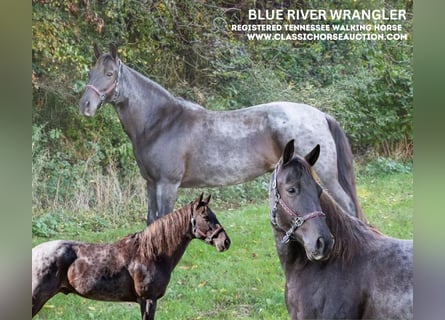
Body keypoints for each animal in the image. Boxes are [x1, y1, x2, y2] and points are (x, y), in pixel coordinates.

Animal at [79, 45, 364, 225]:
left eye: (109, 74)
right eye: (91, 72)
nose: (85, 106)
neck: (161, 122)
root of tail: (320, 115)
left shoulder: (167, 184)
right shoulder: (151, 183)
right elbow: (151, 221)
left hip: (326, 174)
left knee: (348, 207)